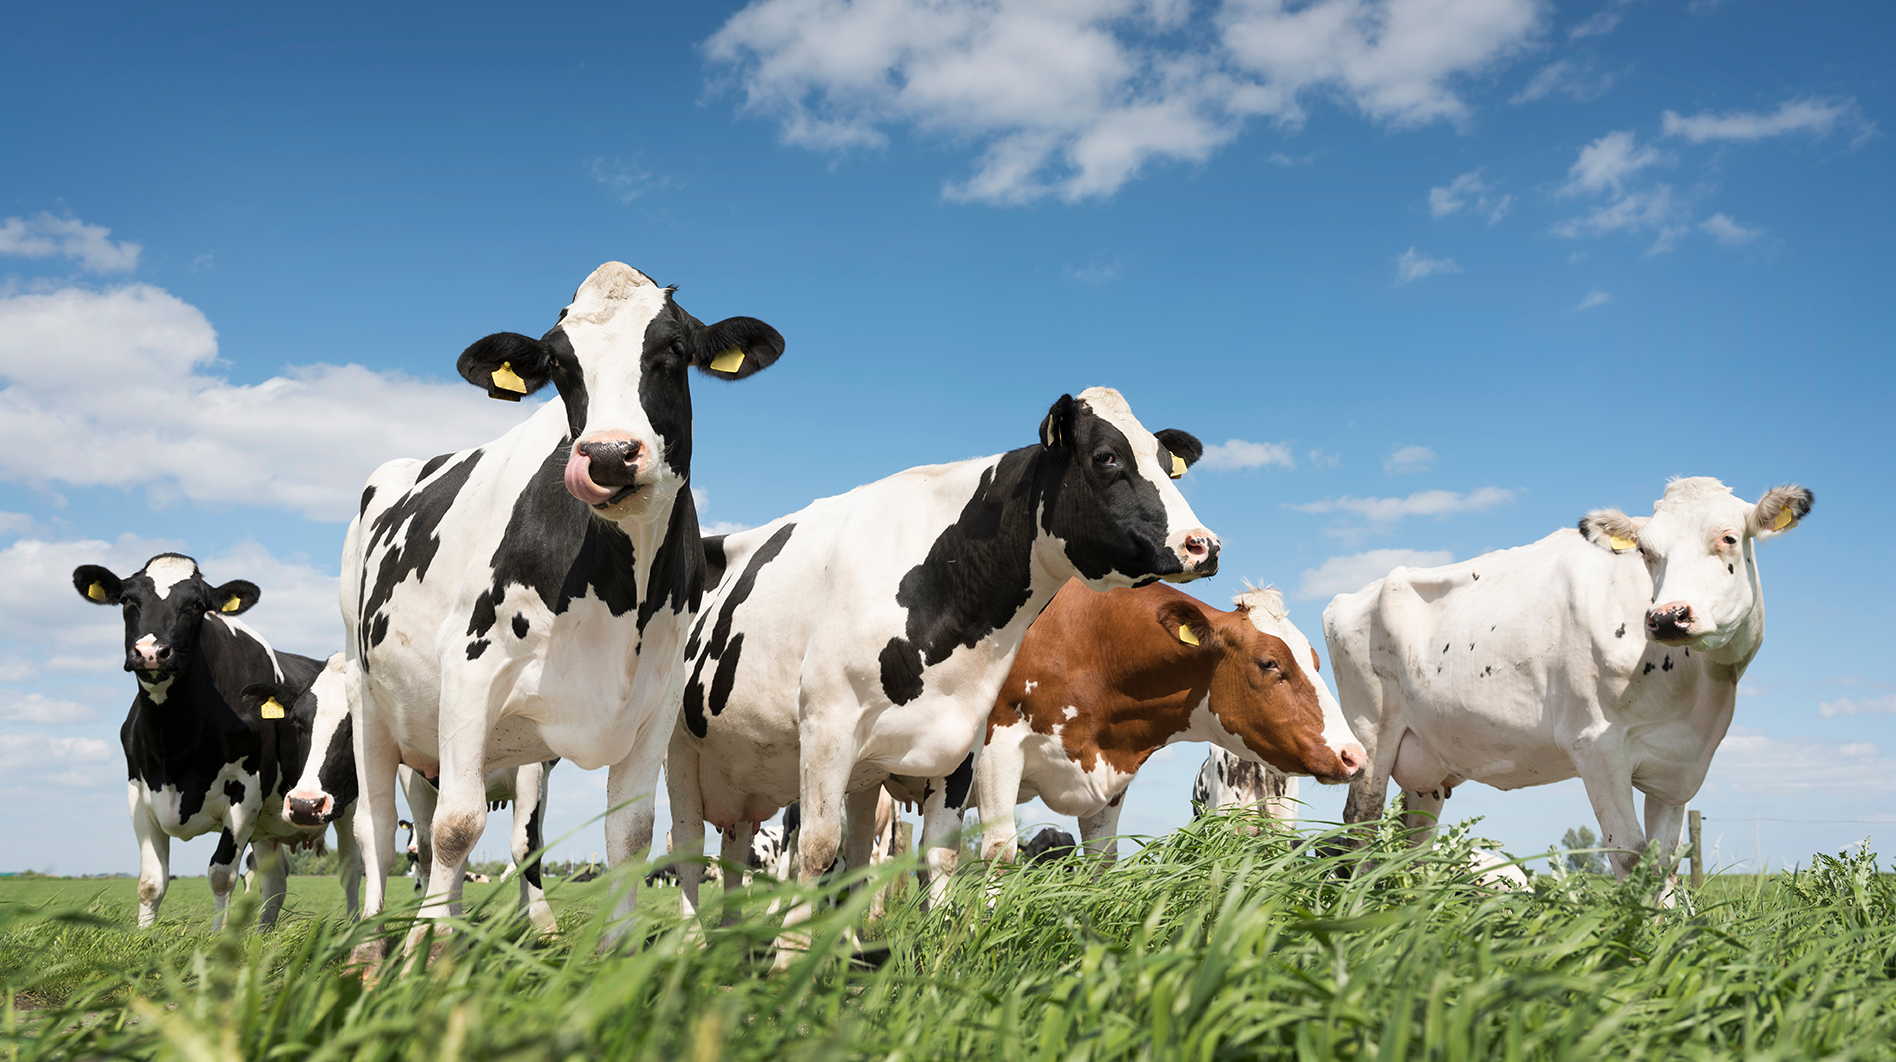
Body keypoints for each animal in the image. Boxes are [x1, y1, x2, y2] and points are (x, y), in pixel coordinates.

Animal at [69, 557, 358, 929]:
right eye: (127, 600)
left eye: (196, 605)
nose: (151, 652)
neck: (174, 740)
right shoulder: (138, 794)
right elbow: (151, 882)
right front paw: (144, 936)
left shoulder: (245, 795)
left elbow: (221, 874)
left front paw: (217, 938)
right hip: (270, 826)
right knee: (275, 879)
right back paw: (262, 933)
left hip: (346, 804)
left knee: (352, 868)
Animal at [667, 383, 1221, 963]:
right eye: (1106, 457)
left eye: (1167, 463)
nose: (1203, 544)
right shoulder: (826, 725)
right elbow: (818, 851)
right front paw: (788, 964)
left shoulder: (962, 742)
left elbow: (939, 856)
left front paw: (936, 956)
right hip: (677, 746)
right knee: (687, 846)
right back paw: (688, 944)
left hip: (763, 771)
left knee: (753, 848)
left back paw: (741, 942)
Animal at [978, 580, 1365, 864]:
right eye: (1269, 662)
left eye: (1317, 663)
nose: (1355, 757)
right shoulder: (997, 747)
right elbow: (999, 851)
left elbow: (1101, 861)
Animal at [1327, 477, 1812, 891]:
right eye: (1646, 551)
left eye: (1728, 538)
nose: (1667, 617)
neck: (1700, 693)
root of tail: (1351, 596)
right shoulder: (1596, 745)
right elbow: (1630, 856)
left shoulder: (1678, 766)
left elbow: (1664, 864)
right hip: (1370, 735)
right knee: (1360, 827)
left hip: (1426, 762)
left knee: (1414, 844)